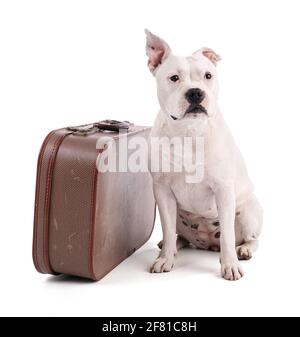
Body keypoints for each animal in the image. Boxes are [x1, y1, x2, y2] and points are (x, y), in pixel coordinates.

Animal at [146, 30, 262, 280]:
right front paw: (165, 259)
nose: (195, 92)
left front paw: (230, 265)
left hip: (249, 212)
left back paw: (244, 250)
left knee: (250, 239)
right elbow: (167, 229)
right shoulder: (162, 190)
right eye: (174, 78)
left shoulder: (223, 189)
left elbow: (227, 235)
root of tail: (206, 244)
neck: (189, 132)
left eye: (208, 76)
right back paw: (172, 246)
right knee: (177, 235)